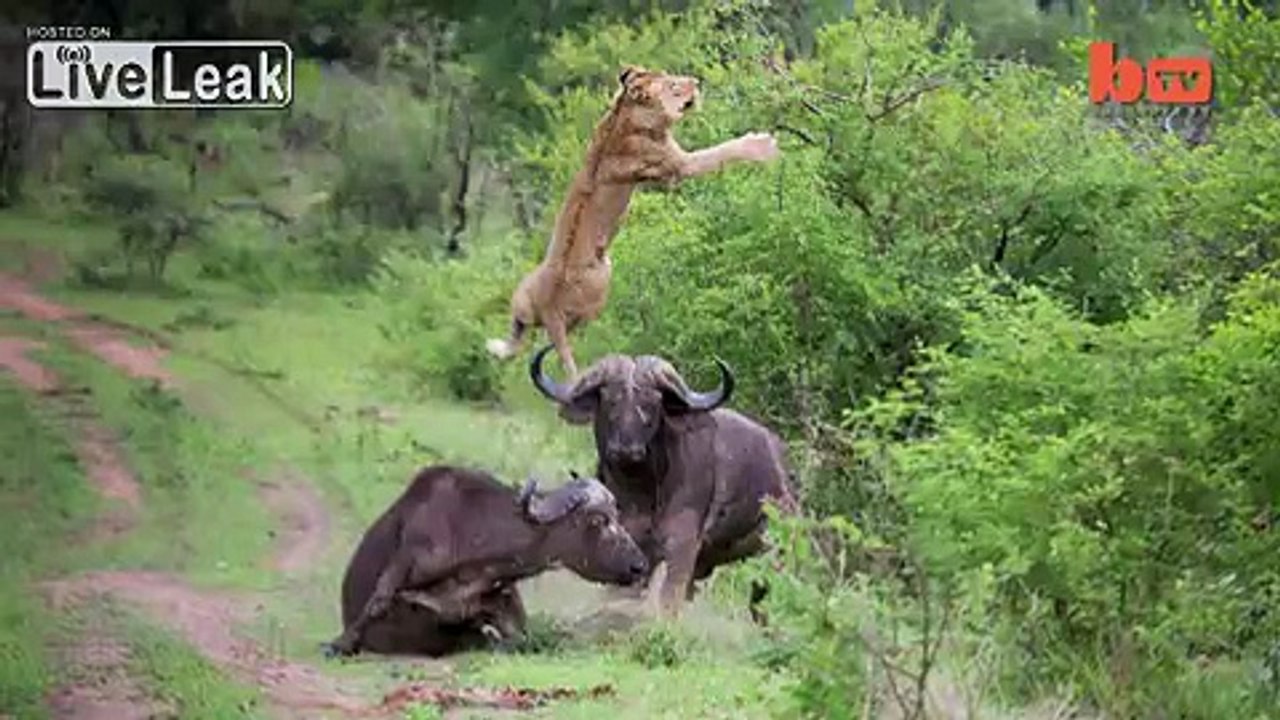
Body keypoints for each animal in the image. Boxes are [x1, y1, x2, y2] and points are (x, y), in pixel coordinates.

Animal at [325, 464, 649, 657]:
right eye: (597, 520)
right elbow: (379, 601)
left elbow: (519, 636)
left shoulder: (502, 602)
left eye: (617, 515)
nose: (640, 566)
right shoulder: (409, 560)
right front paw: (341, 643)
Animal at [485, 65, 781, 378]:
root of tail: (549, 309)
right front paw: (763, 145)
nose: (697, 82)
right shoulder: (678, 166)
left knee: (520, 334)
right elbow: (721, 151)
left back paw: (499, 347)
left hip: (522, 299)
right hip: (601, 279)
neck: (626, 114)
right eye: (674, 85)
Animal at [529, 345, 798, 618]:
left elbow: (668, 599)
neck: (640, 494)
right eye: (610, 400)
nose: (626, 449)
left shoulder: (682, 544)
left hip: (773, 554)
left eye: (651, 405)